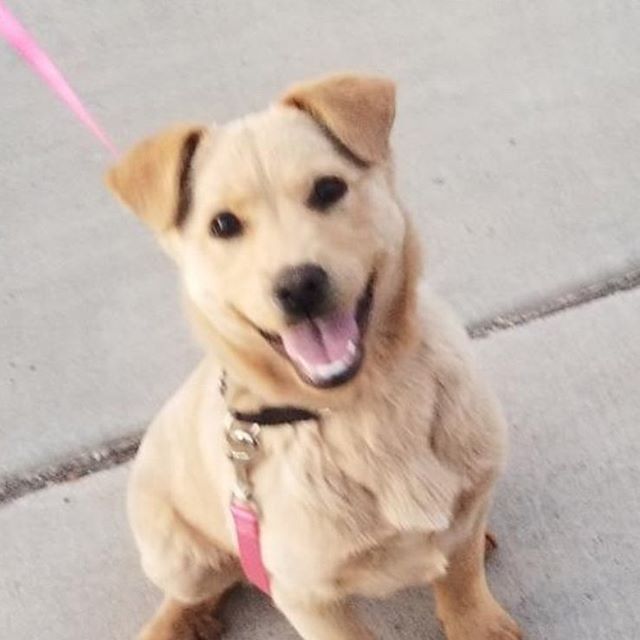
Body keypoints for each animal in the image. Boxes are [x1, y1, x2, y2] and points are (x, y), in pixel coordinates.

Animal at [107, 72, 524, 636]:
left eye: (328, 189)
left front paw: (476, 619)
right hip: (179, 556)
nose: (299, 285)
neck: (364, 409)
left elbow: (462, 580)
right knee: (203, 585)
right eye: (223, 225)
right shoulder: (307, 597)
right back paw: (177, 622)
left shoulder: (467, 508)